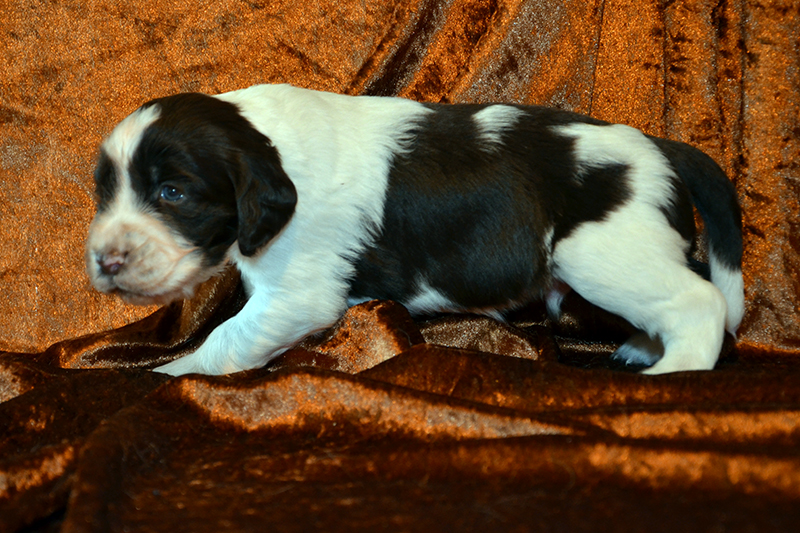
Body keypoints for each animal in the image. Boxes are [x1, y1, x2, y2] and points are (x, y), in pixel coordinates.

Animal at [83, 83, 744, 374]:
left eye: (172, 193)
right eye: (104, 192)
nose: (105, 263)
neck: (265, 142)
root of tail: (659, 146)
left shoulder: (295, 295)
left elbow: (223, 341)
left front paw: (170, 377)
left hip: (604, 255)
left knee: (700, 302)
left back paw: (675, 370)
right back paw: (643, 348)